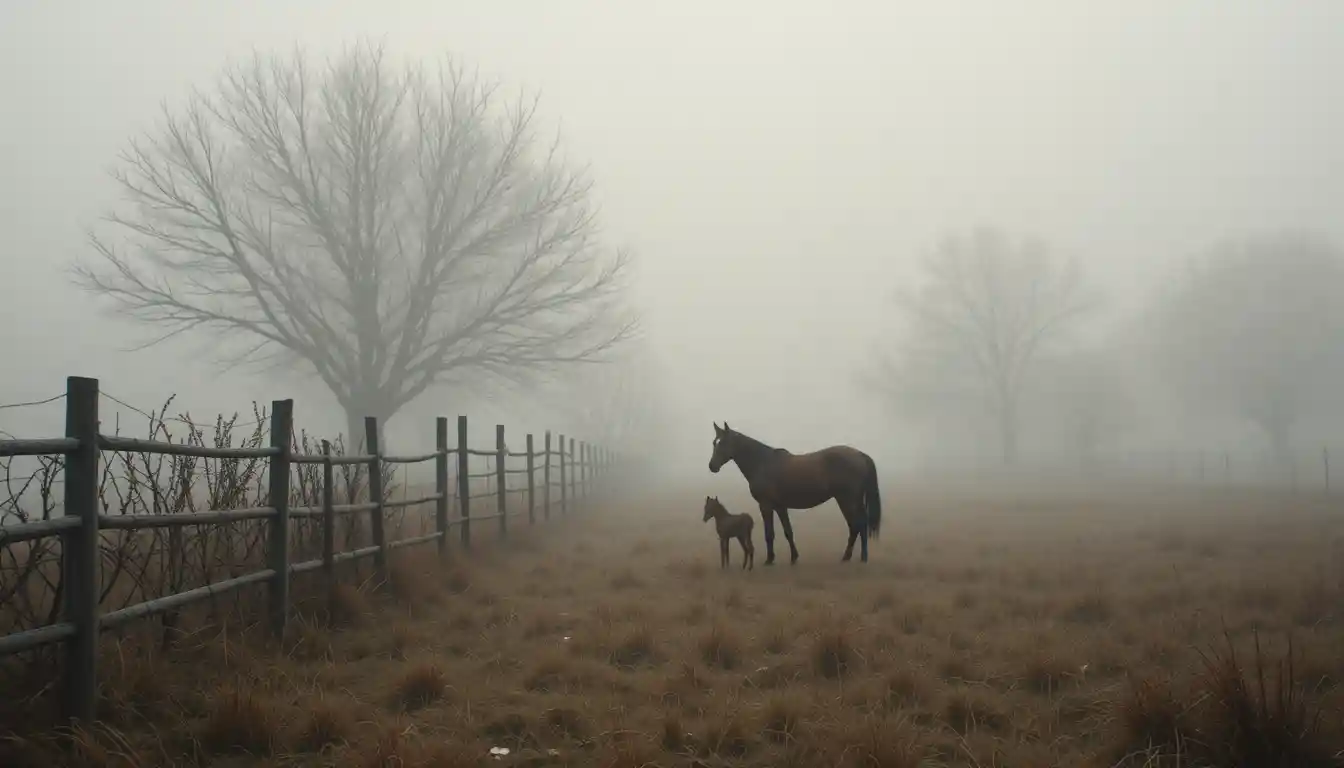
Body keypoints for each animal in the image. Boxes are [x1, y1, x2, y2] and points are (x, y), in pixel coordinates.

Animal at [707, 421, 882, 565]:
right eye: (714, 443)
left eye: (723, 443)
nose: (712, 466)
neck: (762, 463)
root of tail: (861, 455)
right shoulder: (780, 506)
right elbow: (788, 532)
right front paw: (794, 557)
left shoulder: (765, 506)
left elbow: (769, 534)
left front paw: (769, 559)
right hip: (851, 501)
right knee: (857, 525)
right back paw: (852, 556)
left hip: (847, 500)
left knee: (858, 524)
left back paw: (857, 557)